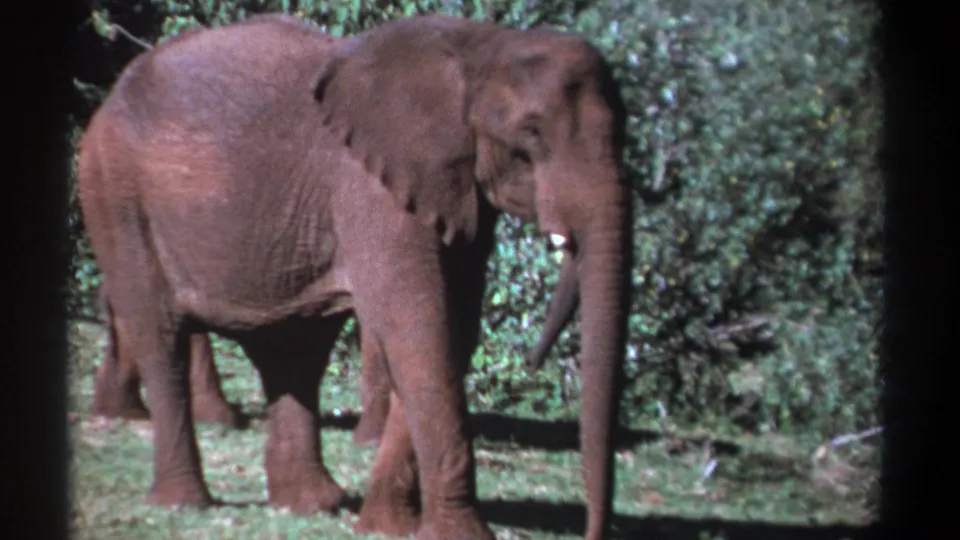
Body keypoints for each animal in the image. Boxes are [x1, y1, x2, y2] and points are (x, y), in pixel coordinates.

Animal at [76, 13, 632, 540]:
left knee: (292, 352)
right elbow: (418, 329)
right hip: (114, 195)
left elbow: (450, 334)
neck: (480, 47)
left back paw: (309, 505)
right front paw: (457, 534)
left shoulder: (456, 192)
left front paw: (385, 526)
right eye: (532, 132)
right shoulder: (370, 187)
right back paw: (184, 504)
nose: (593, 532)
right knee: (161, 334)